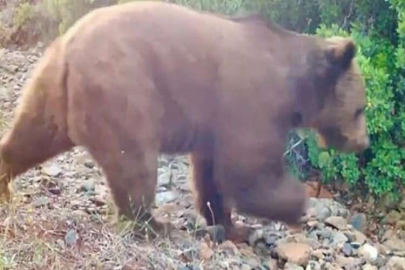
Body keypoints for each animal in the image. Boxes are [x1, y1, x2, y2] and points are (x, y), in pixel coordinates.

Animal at [0, 1, 368, 242]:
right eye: (361, 109)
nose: (362, 142)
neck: (294, 86)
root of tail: (70, 48)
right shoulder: (250, 105)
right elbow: (247, 172)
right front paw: (297, 204)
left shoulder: (214, 124)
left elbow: (211, 175)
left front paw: (231, 225)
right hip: (126, 90)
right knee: (135, 164)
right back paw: (154, 225)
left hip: (50, 89)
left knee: (29, 137)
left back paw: (5, 185)